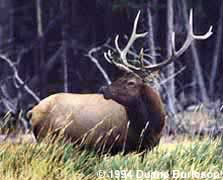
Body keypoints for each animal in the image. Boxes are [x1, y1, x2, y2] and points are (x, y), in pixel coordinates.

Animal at [28, 9, 212, 153]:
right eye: (119, 77)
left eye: (131, 82)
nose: (103, 89)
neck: (150, 126)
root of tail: (32, 112)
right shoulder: (108, 145)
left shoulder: (148, 147)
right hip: (49, 138)